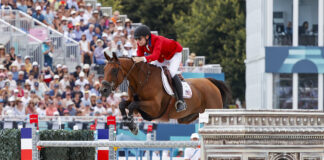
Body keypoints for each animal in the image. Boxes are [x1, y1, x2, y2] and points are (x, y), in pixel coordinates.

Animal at [100, 52, 230, 135]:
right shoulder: (136, 104)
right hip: (188, 117)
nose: (103, 90)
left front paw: (132, 125)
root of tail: (210, 82)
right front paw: (129, 123)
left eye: (114, 70)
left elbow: (132, 105)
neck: (142, 80)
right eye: (104, 69)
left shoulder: (154, 108)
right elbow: (122, 104)